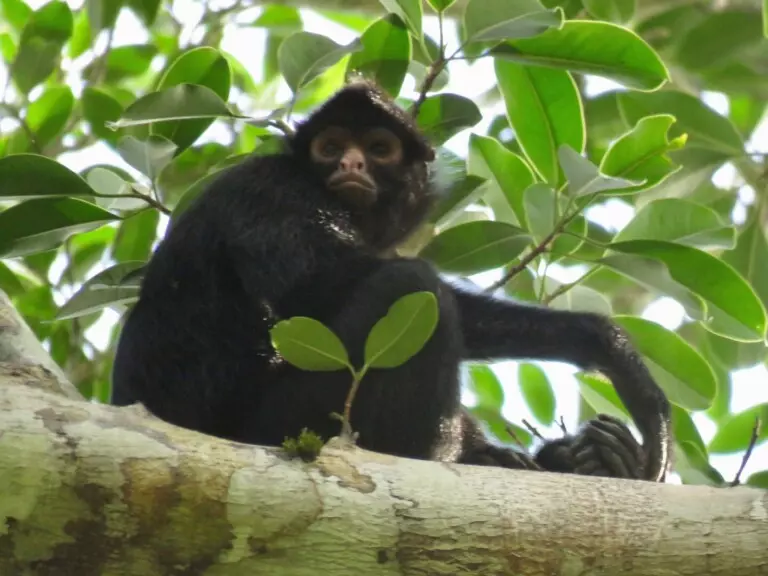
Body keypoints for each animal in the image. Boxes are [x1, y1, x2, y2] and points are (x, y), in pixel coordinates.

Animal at [111, 80, 671, 482]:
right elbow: (329, 287)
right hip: (284, 425)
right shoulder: (269, 191)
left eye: (378, 148)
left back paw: (594, 459)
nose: (351, 162)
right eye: (331, 145)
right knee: (411, 284)